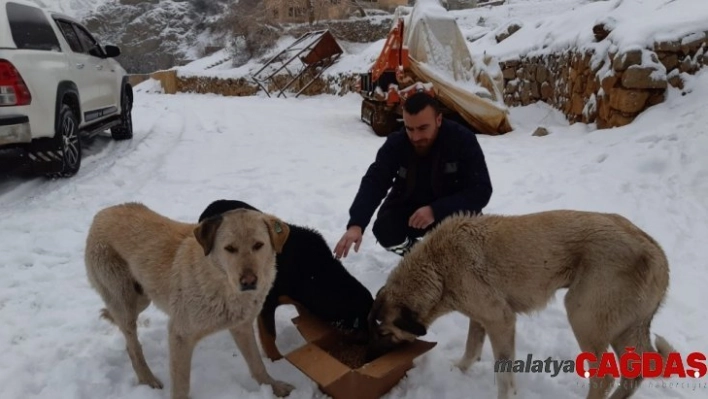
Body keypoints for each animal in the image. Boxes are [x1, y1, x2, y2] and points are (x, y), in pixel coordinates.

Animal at [86, 205, 296, 398]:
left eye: (258, 245)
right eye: (230, 249)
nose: (249, 282)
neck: (220, 283)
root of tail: (103, 213)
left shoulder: (242, 327)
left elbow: (257, 364)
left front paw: (273, 387)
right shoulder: (180, 336)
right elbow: (181, 385)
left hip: (142, 296)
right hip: (125, 303)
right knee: (132, 346)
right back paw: (148, 379)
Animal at [198, 202, 376, 360]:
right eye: (364, 321)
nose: (369, 350)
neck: (315, 274)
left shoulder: (302, 301)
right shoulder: (267, 302)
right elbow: (270, 336)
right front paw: (278, 361)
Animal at [368, 211, 672, 398]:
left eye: (385, 333)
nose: (373, 357)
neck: (438, 271)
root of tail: (656, 252)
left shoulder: (500, 320)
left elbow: (503, 372)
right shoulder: (481, 318)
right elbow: (472, 348)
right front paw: (459, 369)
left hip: (583, 316)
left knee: (604, 378)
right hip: (624, 328)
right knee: (634, 373)